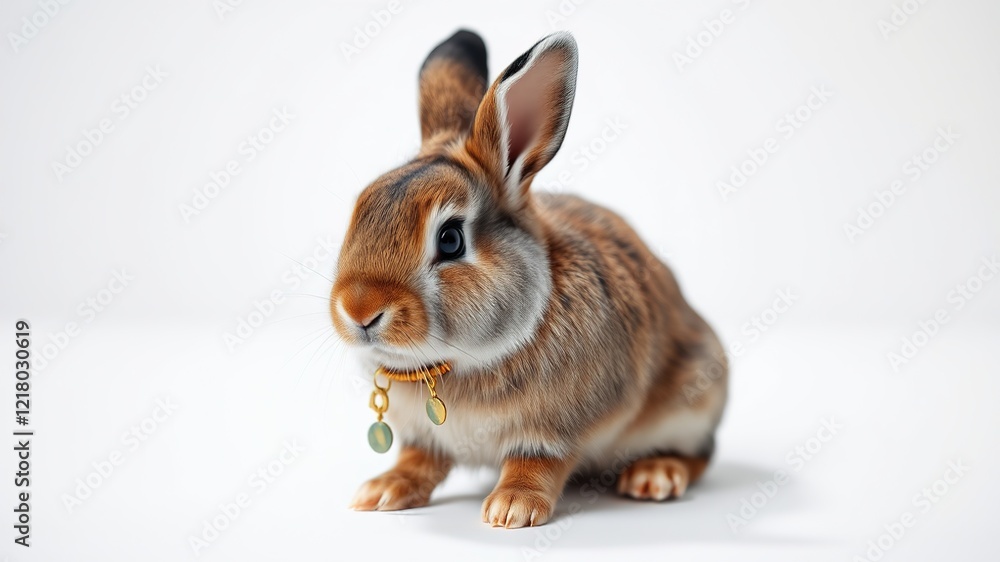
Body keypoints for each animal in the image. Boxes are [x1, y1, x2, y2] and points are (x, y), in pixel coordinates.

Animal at [332, 27, 732, 524]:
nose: (359, 310)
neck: (455, 363)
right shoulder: (425, 437)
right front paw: (383, 491)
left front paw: (511, 509)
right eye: (359, 210)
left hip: (693, 402)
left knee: (701, 454)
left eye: (450, 239)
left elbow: (537, 463)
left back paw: (655, 475)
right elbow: (417, 459)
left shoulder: (553, 429)